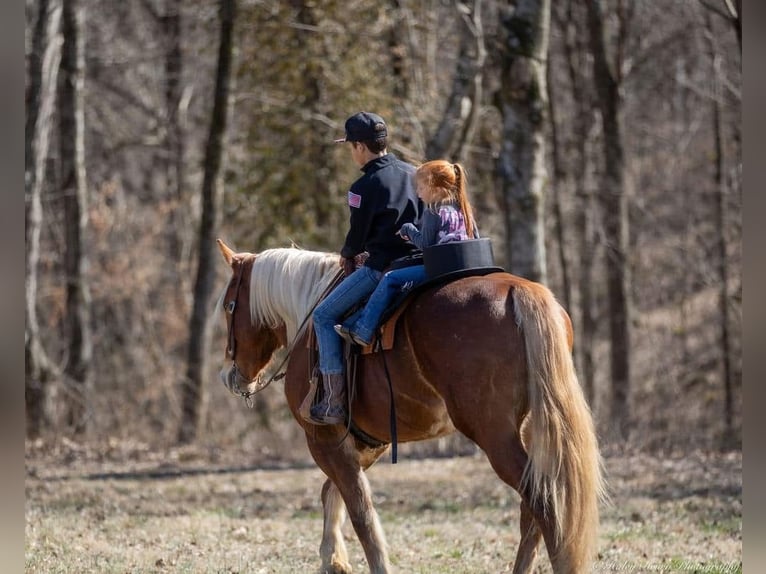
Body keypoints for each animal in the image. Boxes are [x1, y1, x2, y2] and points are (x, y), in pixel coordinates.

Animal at [214, 240, 608, 574]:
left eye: (229, 306)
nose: (232, 376)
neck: (311, 317)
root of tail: (518, 292)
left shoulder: (323, 439)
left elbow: (361, 511)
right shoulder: (366, 442)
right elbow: (334, 492)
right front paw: (334, 559)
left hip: (494, 434)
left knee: (543, 503)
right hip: (525, 428)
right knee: (532, 510)